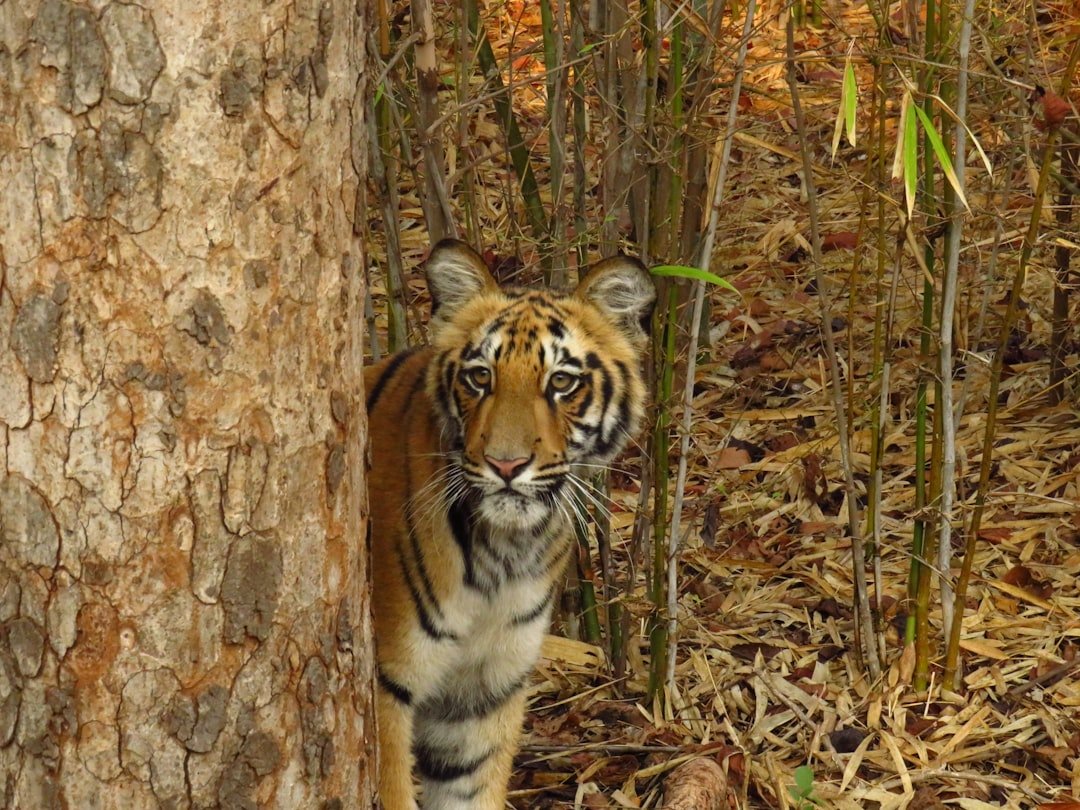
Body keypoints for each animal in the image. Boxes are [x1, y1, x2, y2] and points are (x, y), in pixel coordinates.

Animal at [364, 239, 655, 810]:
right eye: (481, 376)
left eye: (561, 382)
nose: (506, 465)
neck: (503, 554)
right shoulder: (387, 686)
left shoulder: (482, 695)